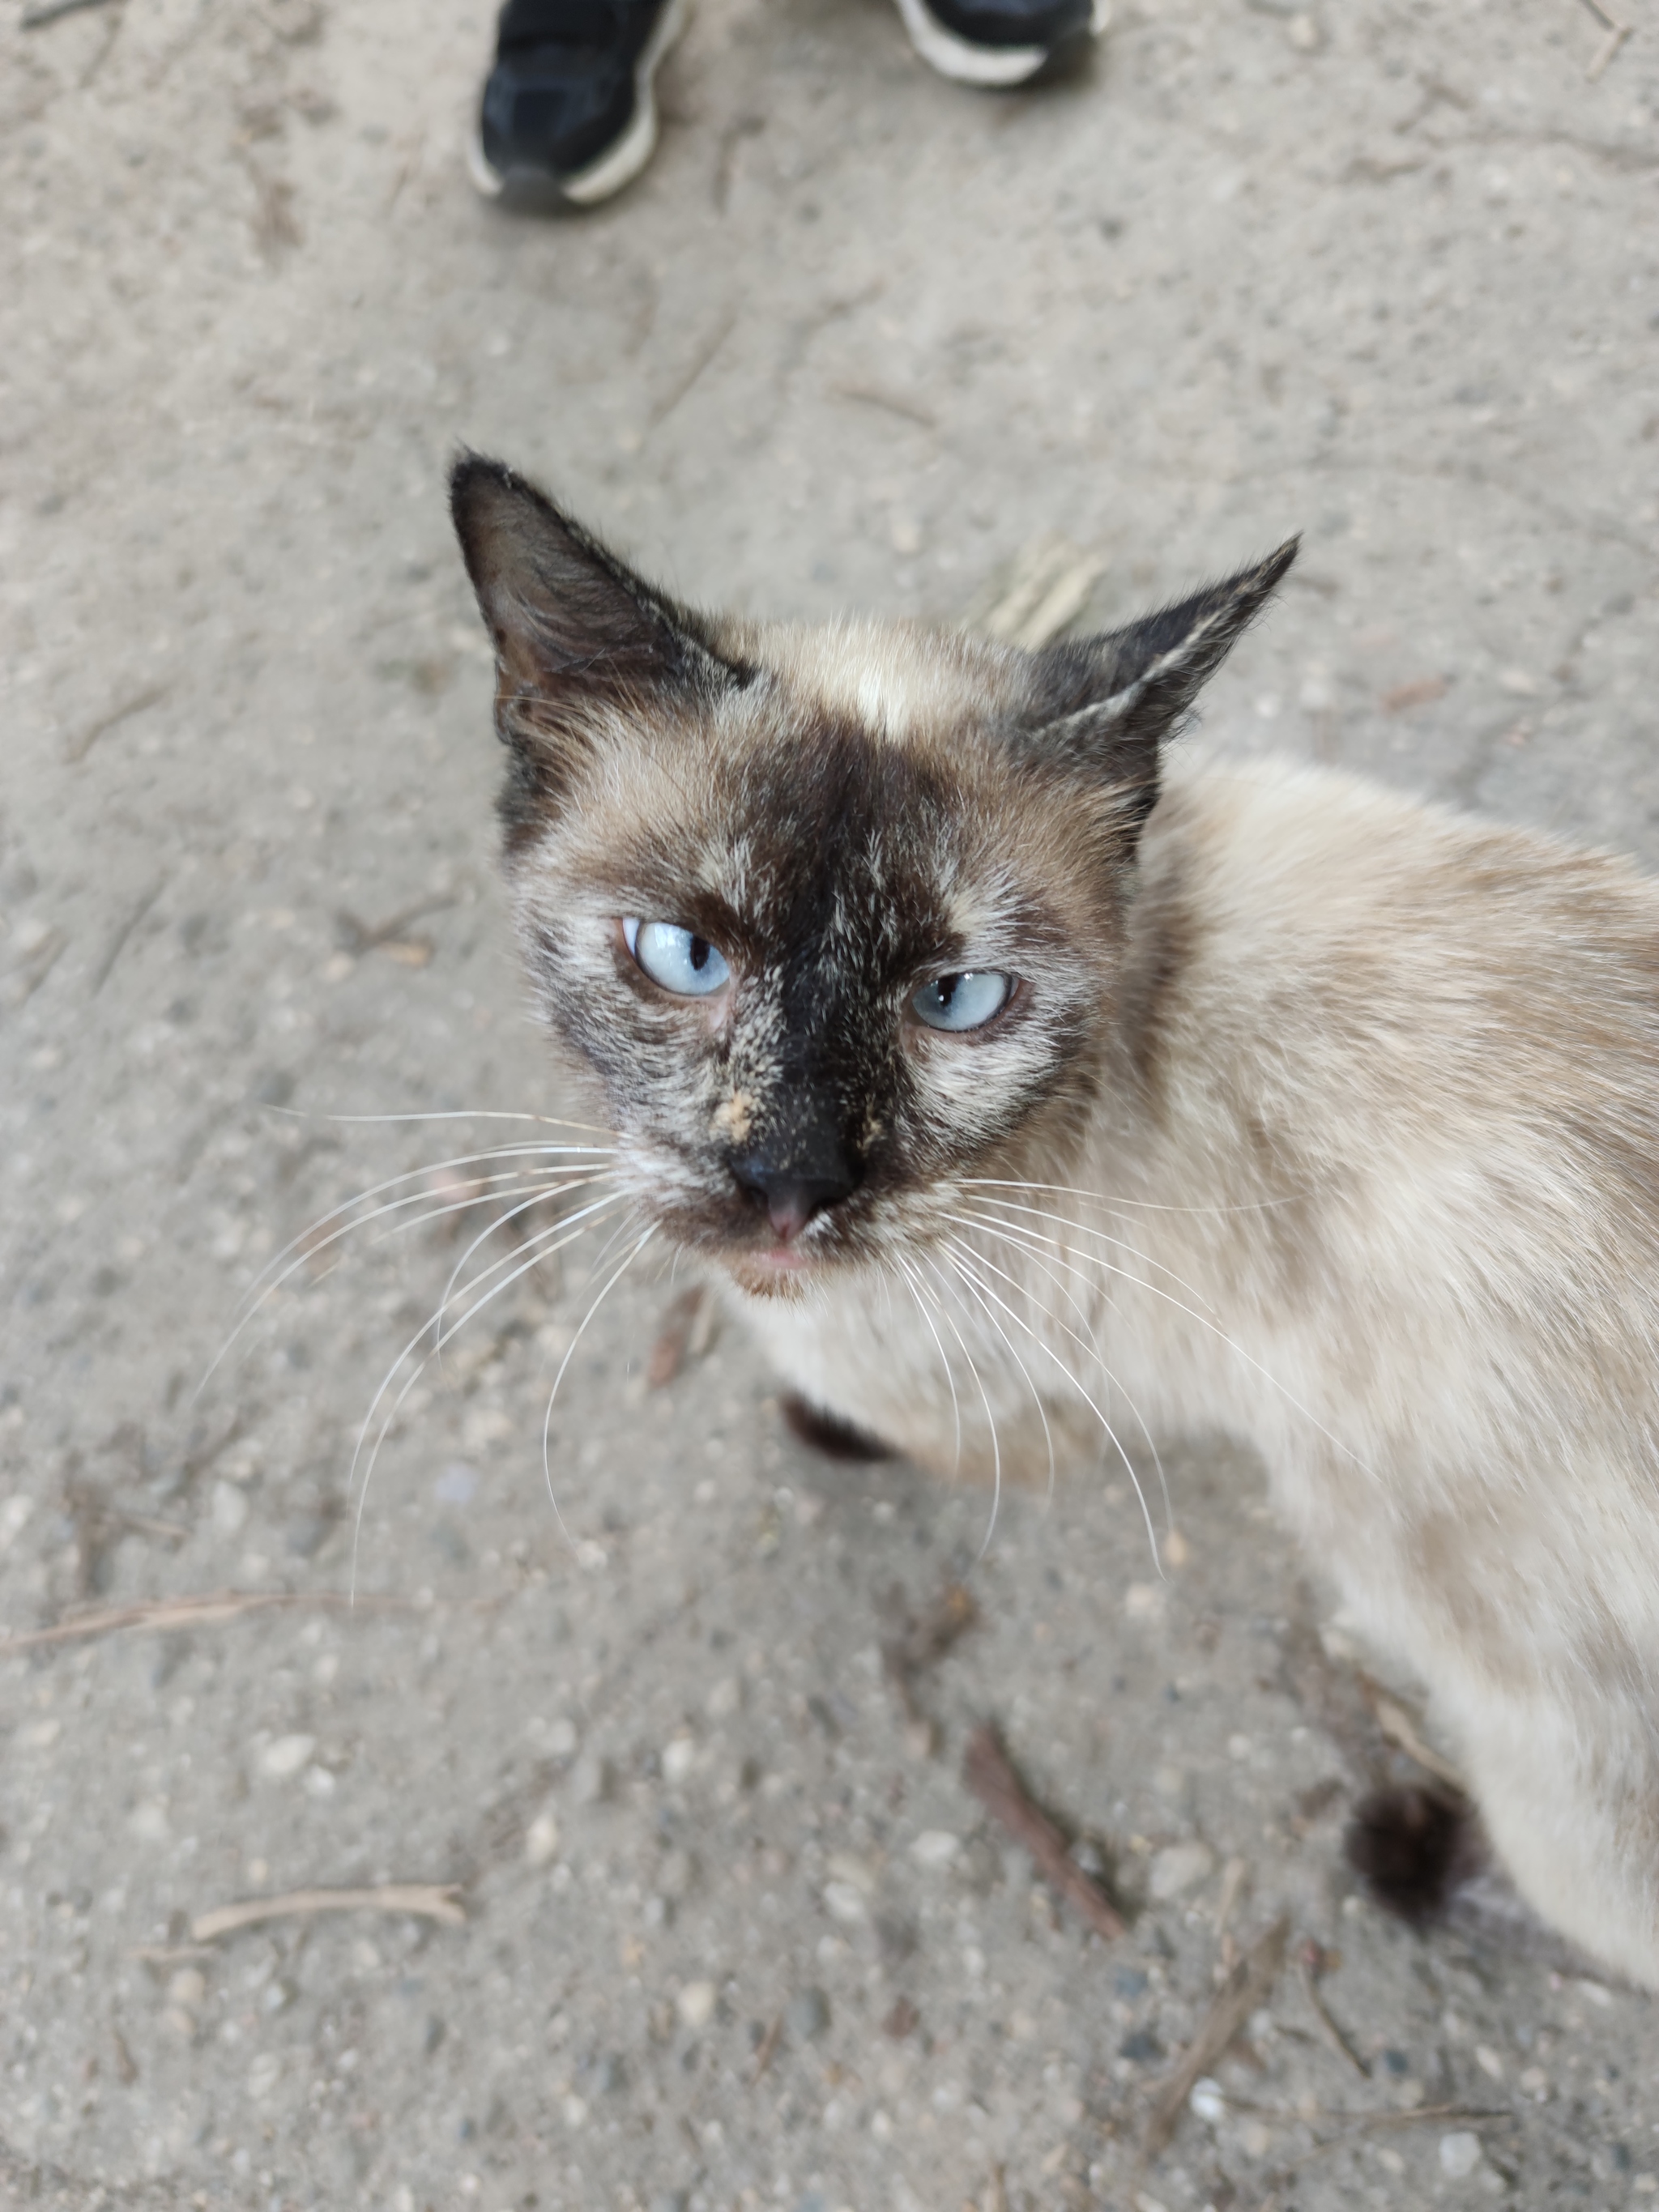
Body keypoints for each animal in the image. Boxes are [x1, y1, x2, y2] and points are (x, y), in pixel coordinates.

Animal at [449, 444, 1659, 1990]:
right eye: (684, 956)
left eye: (958, 998)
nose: (789, 1180)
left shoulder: (979, 1391)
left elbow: (885, 1420)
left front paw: (817, 1429)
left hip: (1527, 1712)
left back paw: (1407, 1856)